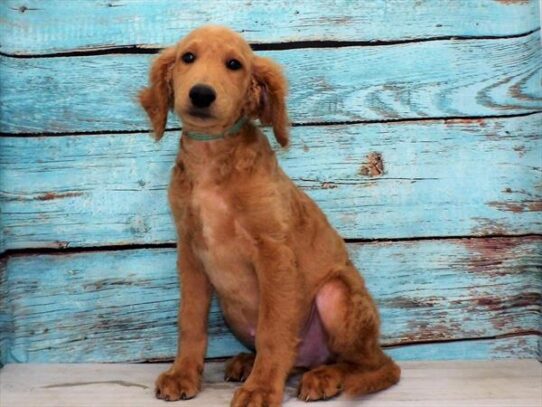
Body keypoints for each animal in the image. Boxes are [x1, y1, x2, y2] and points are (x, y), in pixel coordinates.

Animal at [138, 26, 402, 407]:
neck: (212, 156)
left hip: (335, 295)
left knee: (368, 363)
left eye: (234, 64)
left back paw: (324, 377)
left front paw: (261, 389)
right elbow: (190, 321)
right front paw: (183, 374)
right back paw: (250, 363)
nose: (201, 94)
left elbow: (273, 331)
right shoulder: (190, 254)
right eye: (188, 57)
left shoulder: (273, 252)